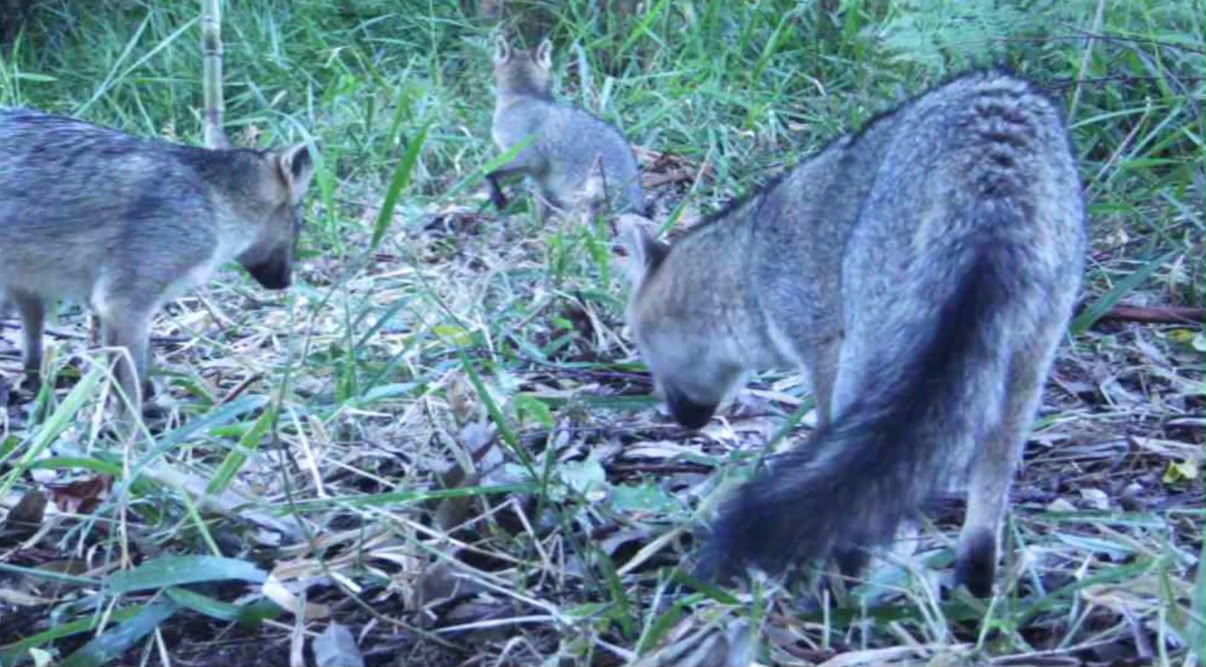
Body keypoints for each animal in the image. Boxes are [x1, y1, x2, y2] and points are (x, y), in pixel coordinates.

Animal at [0, 108, 316, 413]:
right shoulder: (124, 303)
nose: (285, 282)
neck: (212, 199)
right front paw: (134, 428)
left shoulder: (87, 304)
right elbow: (130, 388)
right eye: (298, 224)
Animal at [488, 36, 644, 221]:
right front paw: (536, 223)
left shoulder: (529, 157)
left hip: (592, 188)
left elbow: (488, 171)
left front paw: (497, 194)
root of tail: (637, 208)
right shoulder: (538, 177)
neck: (524, 96)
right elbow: (540, 206)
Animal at [618, 70, 1086, 597]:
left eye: (644, 353)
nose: (682, 422)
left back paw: (839, 576)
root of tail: (997, 161)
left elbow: (828, 431)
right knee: (990, 488)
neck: (750, 262)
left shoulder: (824, 347)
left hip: (873, 347)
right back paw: (972, 584)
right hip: (1023, 365)